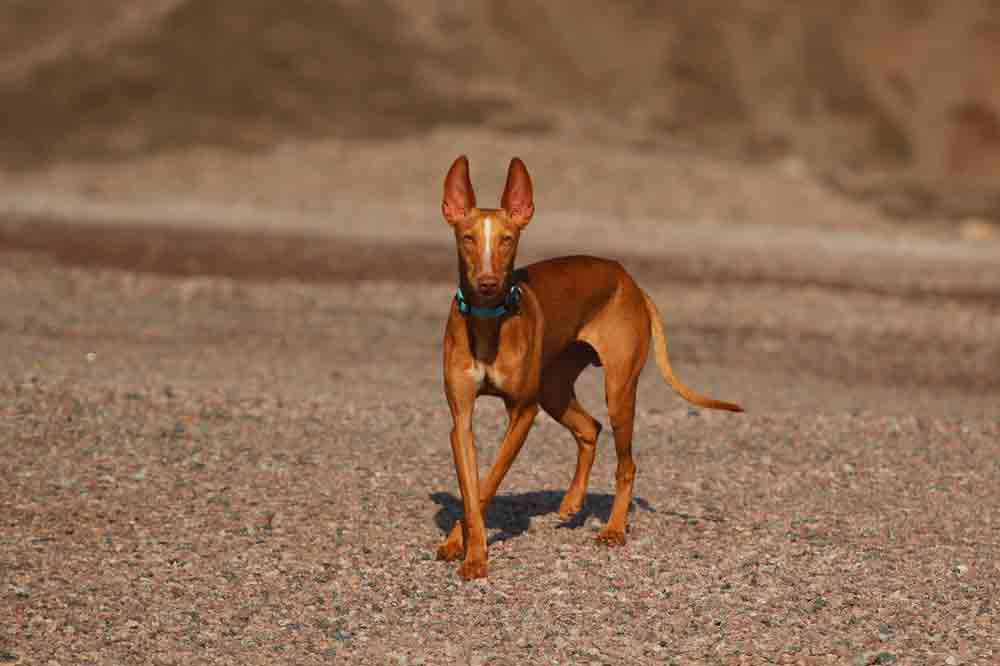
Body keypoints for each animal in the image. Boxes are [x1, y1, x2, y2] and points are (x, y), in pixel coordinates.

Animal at [434, 154, 740, 576]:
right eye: (467, 238)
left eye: (507, 239)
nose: (487, 283)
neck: (487, 322)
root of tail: (629, 279)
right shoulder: (460, 421)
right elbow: (471, 488)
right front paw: (460, 544)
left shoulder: (524, 412)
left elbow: (487, 484)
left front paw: (474, 555)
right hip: (554, 389)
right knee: (589, 428)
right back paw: (572, 501)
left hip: (617, 391)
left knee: (626, 464)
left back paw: (613, 529)